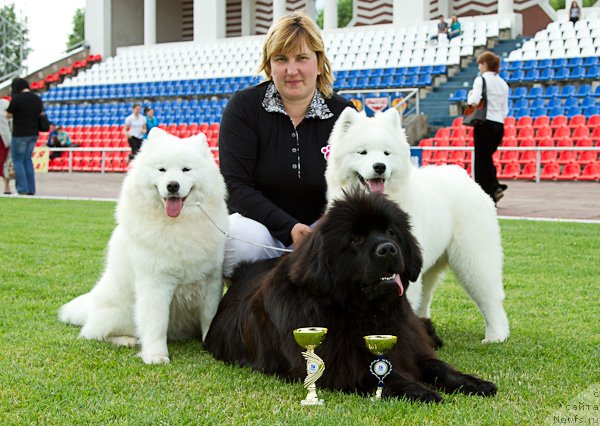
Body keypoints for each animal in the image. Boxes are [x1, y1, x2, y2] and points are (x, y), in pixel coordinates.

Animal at [59, 127, 227, 362]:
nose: (172, 185)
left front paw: (209, 344)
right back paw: (128, 341)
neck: (179, 224)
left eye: (186, 169)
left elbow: (209, 319)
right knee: (95, 334)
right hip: (121, 313)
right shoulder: (155, 283)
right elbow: (156, 324)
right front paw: (156, 356)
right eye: (161, 170)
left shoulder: (211, 281)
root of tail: (91, 304)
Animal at [206, 191, 496, 402]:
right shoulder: (336, 365)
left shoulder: (409, 343)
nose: (388, 249)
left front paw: (473, 382)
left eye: (391, 233)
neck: (365, 312)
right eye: (355, 238)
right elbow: (382, 376)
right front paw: (421, 391)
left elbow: (437, 365)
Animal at [326, 108, 508, 344]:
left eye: (386, 153)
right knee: (425, 298)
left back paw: (496, 335)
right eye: (362, 152)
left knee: (490, 297)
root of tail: (467, 178)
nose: (379, 167)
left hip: (474, 259)